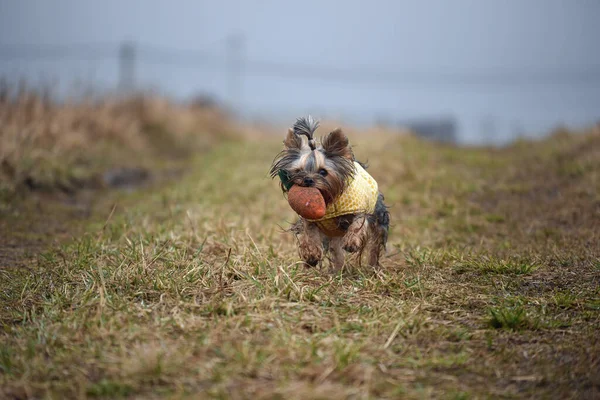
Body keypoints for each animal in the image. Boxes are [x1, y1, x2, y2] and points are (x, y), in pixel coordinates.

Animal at [270, 115, 392, 272]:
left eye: (323, 172)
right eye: (298, 171)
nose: (307, 179)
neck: (327, 200)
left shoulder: (360, 210)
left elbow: (358, 223)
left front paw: (351, 242)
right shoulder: (310, 219)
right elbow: (309, 232)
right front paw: (311, 254)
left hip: (379, 218)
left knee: (374, 245)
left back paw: (372, 267)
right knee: (336, 250)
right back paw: (337, 271)